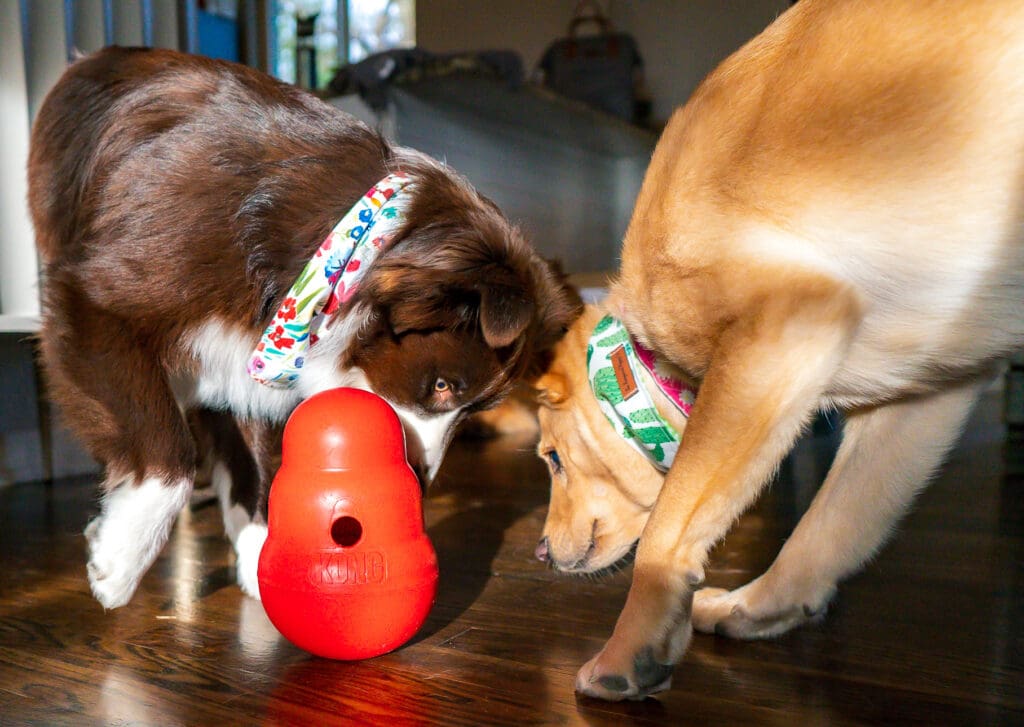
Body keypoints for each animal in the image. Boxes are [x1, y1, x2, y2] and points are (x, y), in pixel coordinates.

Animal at [29, 47, 577, 610]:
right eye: (442, 385)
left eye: (467, 406)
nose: (420, 484)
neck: (344, 246)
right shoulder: (95, 301)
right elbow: (169, 450)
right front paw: (118, 558)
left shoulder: (246, 354)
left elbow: (257, 459)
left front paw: (264, 555)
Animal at [532, 0, 1024, 704]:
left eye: (551, 459)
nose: (539, 554)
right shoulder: (924, 401)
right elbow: (827, 529)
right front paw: (759, 607)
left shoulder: (780, 330)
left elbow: (667, 533)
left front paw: (629, 652)